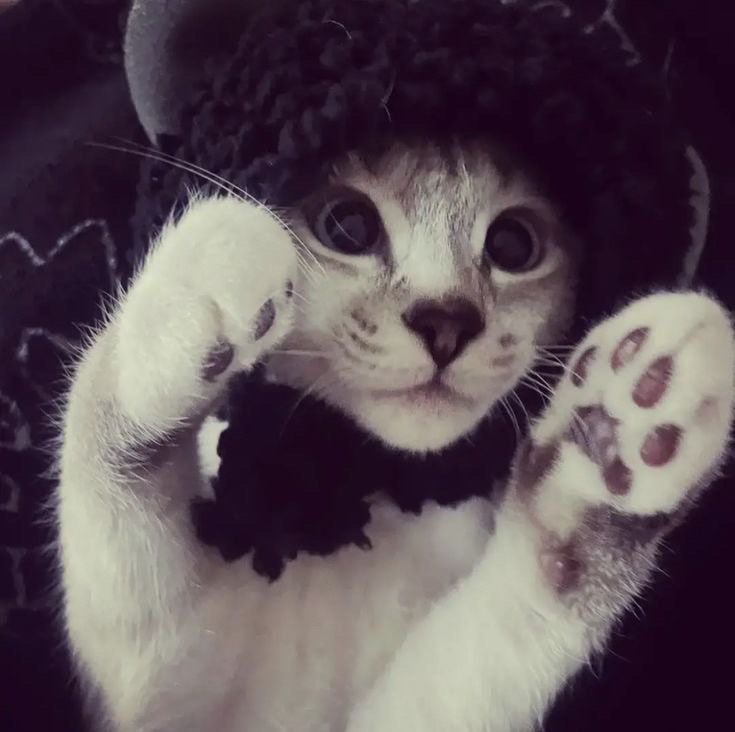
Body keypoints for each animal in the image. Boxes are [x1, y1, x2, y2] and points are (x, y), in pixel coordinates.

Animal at [57, 140, 735, 728]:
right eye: (348, 226)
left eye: (513, 244)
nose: (446, 323)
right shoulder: (167, 694)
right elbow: (104, 462)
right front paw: (193, 292)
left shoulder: (407, 711)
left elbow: (517, 613)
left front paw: (614, 429)